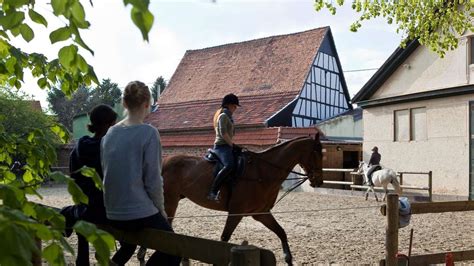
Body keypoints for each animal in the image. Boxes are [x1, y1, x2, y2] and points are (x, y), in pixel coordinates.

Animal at [162, 134, 322, 264]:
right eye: (316, 153)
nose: (318, 181)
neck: (262, 172)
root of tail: (163, 161)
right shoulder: (236, 212)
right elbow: (224, 239)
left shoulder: (261, 213)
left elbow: (281, 232)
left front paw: (288, 259)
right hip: (170, 202)